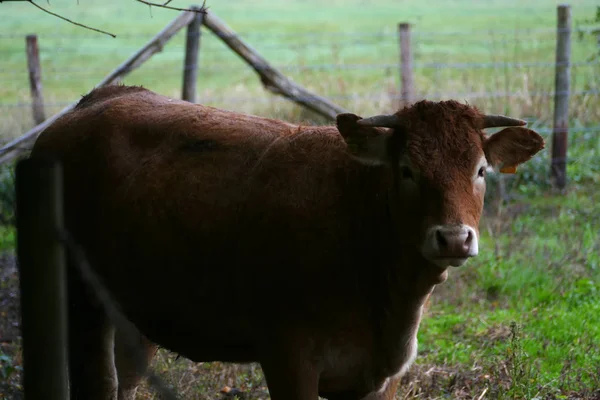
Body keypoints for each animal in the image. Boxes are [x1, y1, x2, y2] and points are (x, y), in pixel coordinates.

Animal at [29, 85, 544, 400]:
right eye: (407, 171)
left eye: (481, 170)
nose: (454, 238)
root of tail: (98, 100)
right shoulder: (287, 356)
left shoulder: (383, 376)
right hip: (80, 298)